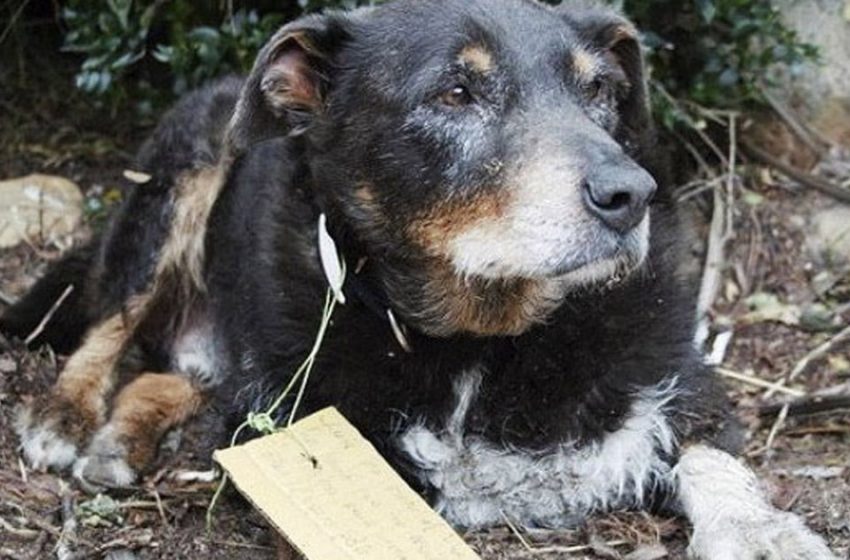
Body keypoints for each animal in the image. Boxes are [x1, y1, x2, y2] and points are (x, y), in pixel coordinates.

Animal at [0, 2, 836, 556]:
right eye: (454, 93)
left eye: (598, 90)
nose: (629, 194)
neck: (486, 339)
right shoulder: (297, 420)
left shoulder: (689, 382)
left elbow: (714, 458)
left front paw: (763, 531)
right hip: (180, 177)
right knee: (111, 324)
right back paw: (67, 417)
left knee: (172, 375)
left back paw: (122, 435)